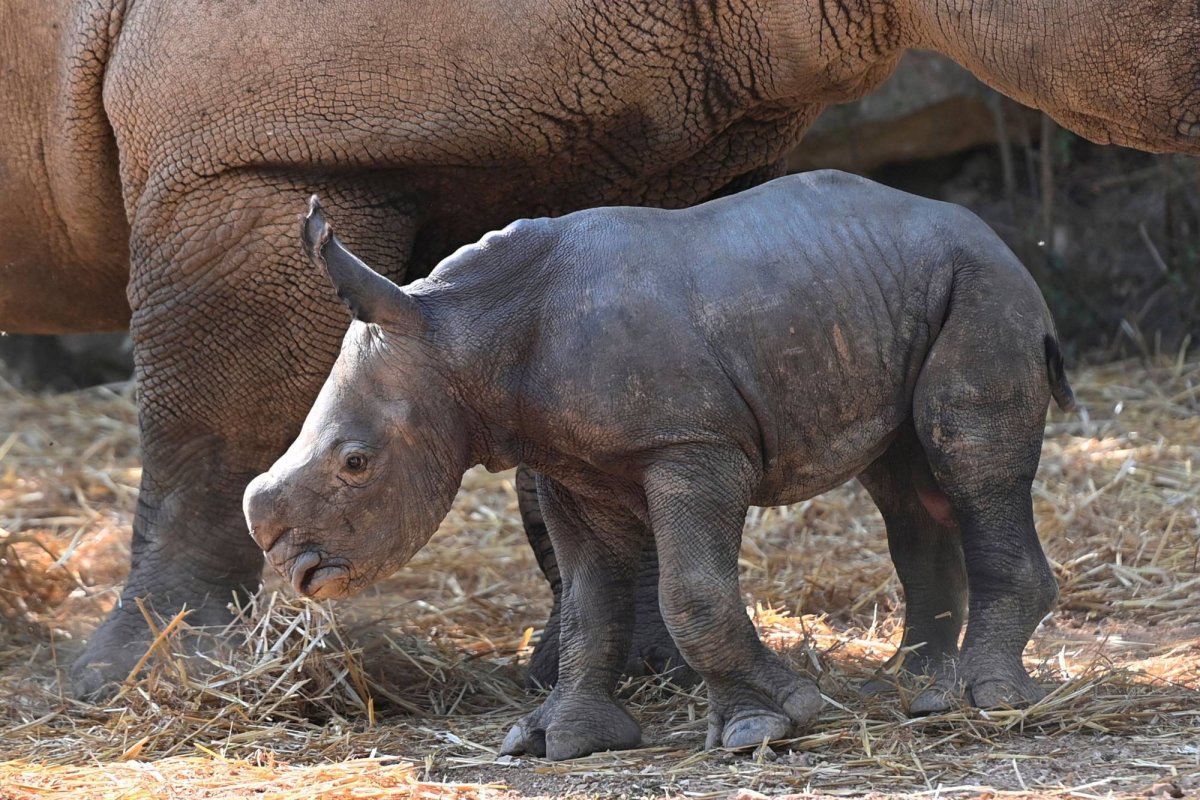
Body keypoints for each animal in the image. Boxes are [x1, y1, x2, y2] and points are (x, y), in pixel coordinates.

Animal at [241, 170, 1070, 762]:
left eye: (356, 463)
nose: (294, 567)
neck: (460, 331)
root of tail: (989, 234)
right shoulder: (569, 467)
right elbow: (588, 601)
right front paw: (556, 741)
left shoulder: (690, 444)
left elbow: (690, 594)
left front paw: (771, 725)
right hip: (891, 293)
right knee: (904, 483)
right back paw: (917, 689)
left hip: (985, 287)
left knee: (967, 455)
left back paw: (989, 698)